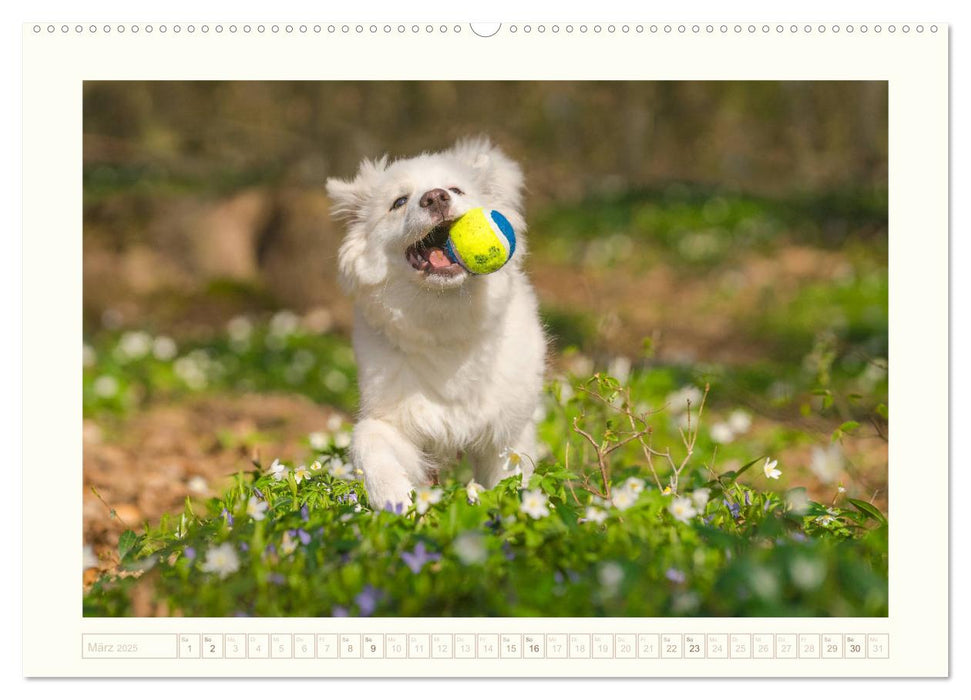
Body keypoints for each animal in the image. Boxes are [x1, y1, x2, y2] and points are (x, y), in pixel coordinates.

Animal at [328, 138, 548, 508]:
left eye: (456, 189)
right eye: (399, 202)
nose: (436, 197)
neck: (445, 319)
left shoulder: (506, 434)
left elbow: (509, 481)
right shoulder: (397, 422)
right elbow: (367, 440)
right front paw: (394, 498)